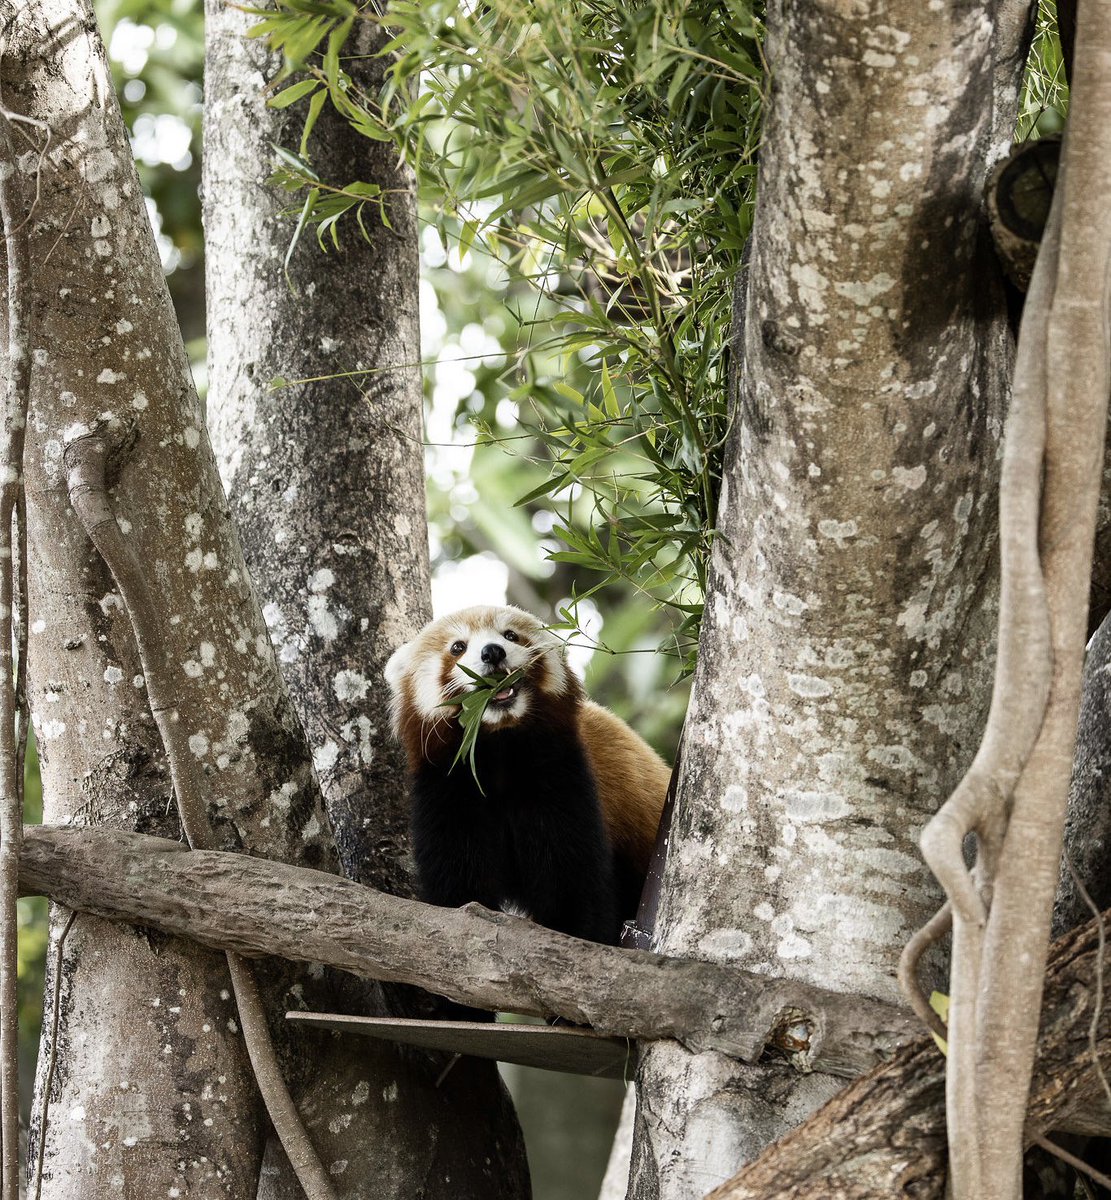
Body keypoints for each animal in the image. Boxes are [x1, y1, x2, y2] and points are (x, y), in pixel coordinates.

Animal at [386, 609, 671, 945]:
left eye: (510, 635)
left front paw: (574, 931)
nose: (492, 652)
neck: (499, 745)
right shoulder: (448, 790)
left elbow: (574, 880)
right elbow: (457, 883)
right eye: (457, 647)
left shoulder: (559, 778)